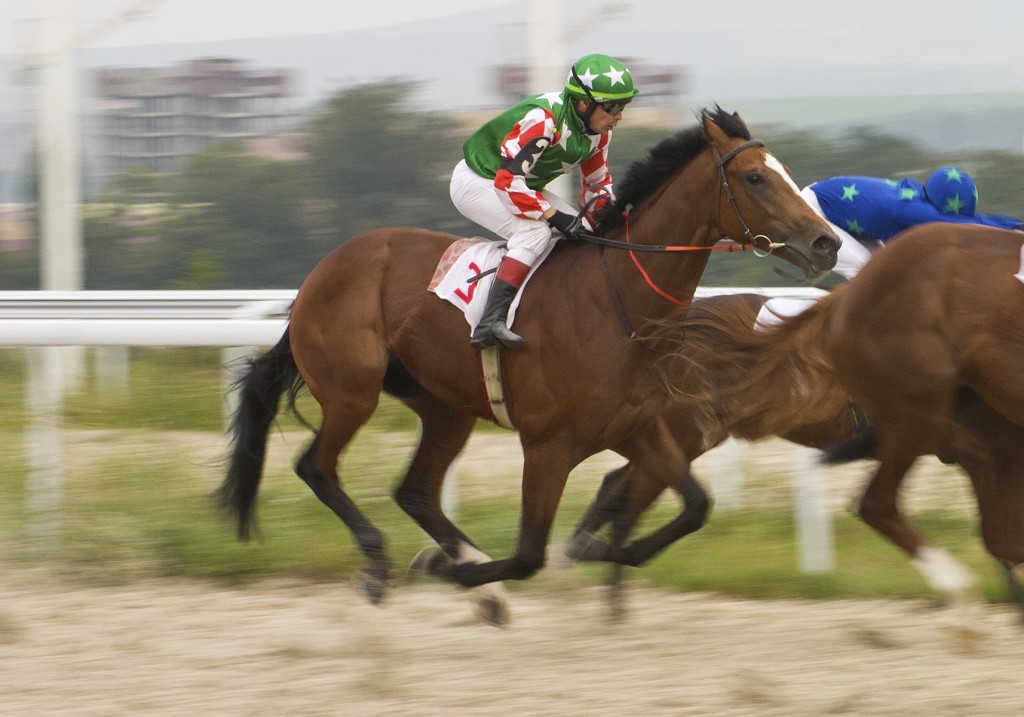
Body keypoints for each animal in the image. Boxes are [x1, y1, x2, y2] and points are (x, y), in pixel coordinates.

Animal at [218, 108, 839, 622]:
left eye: (783, 171)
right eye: (755, 178)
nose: (826, 243)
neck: (615, 305)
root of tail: (321, 274)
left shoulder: (639, 428)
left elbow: (694, 506)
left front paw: (603, 551)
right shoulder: (547, 445)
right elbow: (528, 554)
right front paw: (455, 571)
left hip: (443, 407)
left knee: (415, 491)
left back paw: (472, 580)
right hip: (353, 391)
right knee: (317, 467)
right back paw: (383, 564)